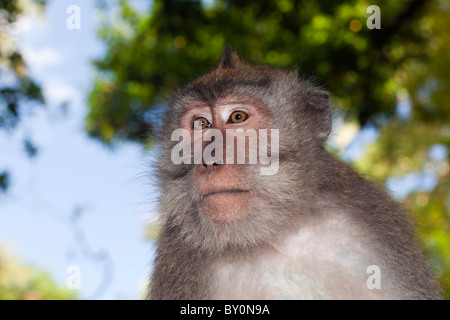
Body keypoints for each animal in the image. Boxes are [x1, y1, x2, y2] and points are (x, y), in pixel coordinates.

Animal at [149, 47, 442, 300]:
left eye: (237, 117)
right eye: (200, 124)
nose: (210, 161)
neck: (272, 233)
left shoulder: (376, 222)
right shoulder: (178, 255)